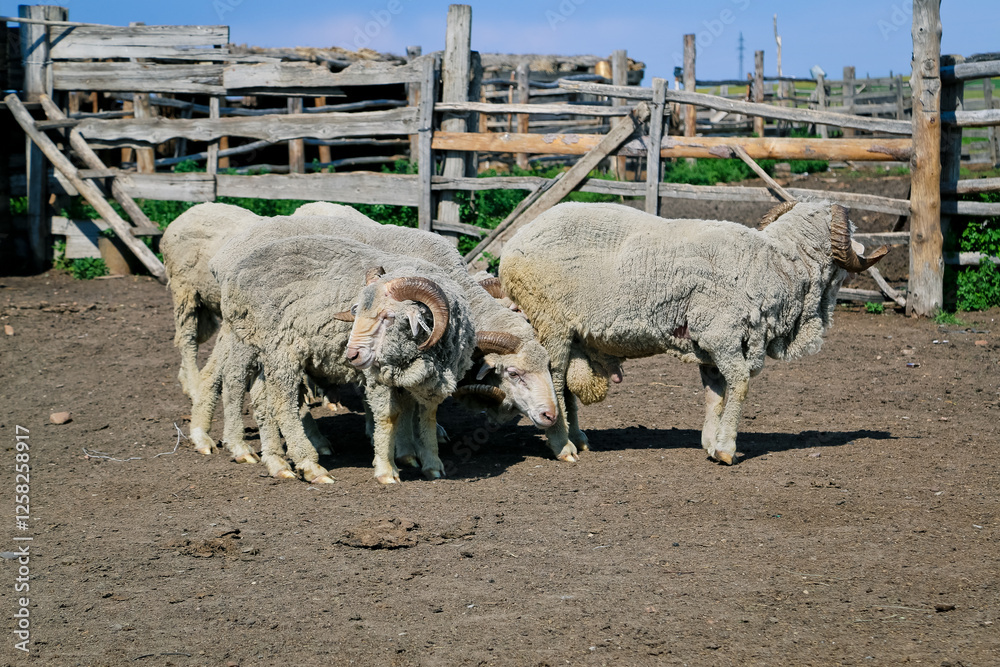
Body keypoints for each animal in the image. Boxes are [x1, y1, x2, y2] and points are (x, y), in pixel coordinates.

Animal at [210, 231, 476, 483]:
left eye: (388, 317)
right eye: (356, 313)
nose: (352, 355)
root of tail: (238, 271)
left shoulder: (429, 377)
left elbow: (427, 415)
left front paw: (432, 464)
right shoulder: (377, 376)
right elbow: (389, 416)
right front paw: (386, 469)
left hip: (259, 347)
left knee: (261, 399)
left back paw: (277, 462)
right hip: (277, 348)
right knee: (270, 398)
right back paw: (305, 464)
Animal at [499, 200, 888, 464]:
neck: (773, 265)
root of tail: (510, 247)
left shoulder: (711, 345)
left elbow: (715, 395)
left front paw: (711, 442)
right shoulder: (722, 334)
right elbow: (740, 384)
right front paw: (727, 449)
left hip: (571, 331)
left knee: (565, 385)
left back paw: (578, 437)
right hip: (551, 321)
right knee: (554, 379)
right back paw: (562, 445)